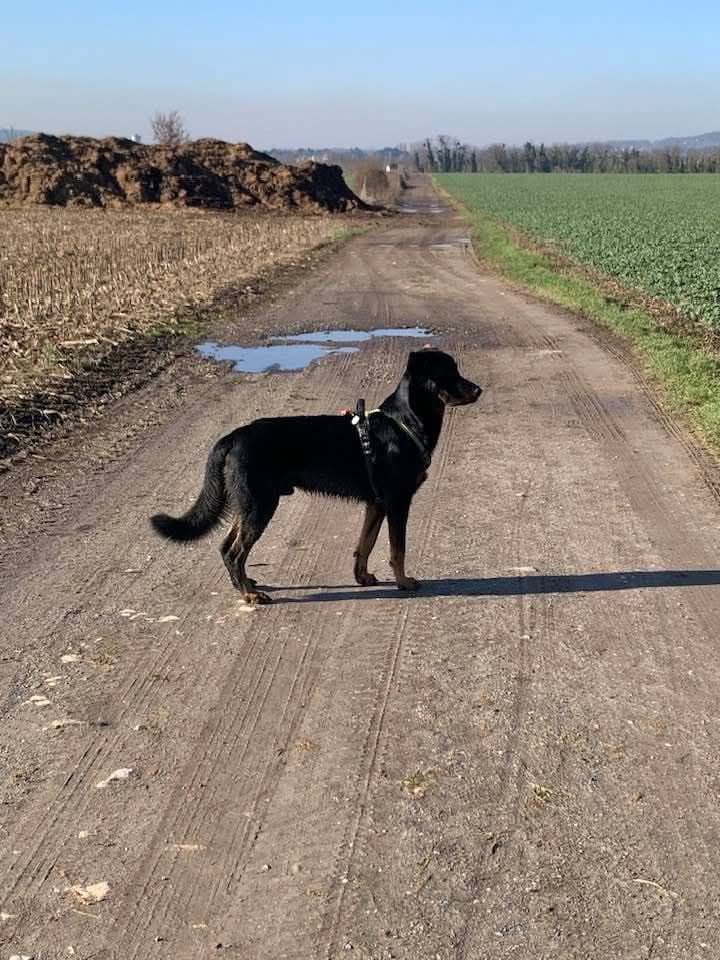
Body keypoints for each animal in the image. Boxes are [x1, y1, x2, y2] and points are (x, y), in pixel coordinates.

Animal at [150, 352, 480, 604]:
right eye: (448, 373)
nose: (479, 390)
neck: (405, 422)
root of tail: (232, 436)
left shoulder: (376, 504)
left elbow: (366, 543)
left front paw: (362, 577)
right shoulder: (398, 503)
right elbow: (397, 549)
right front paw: (404, 582)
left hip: (247, 504)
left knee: (226, 547)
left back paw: (245, 584)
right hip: (260, 505)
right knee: (234, 552)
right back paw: (249, 595)